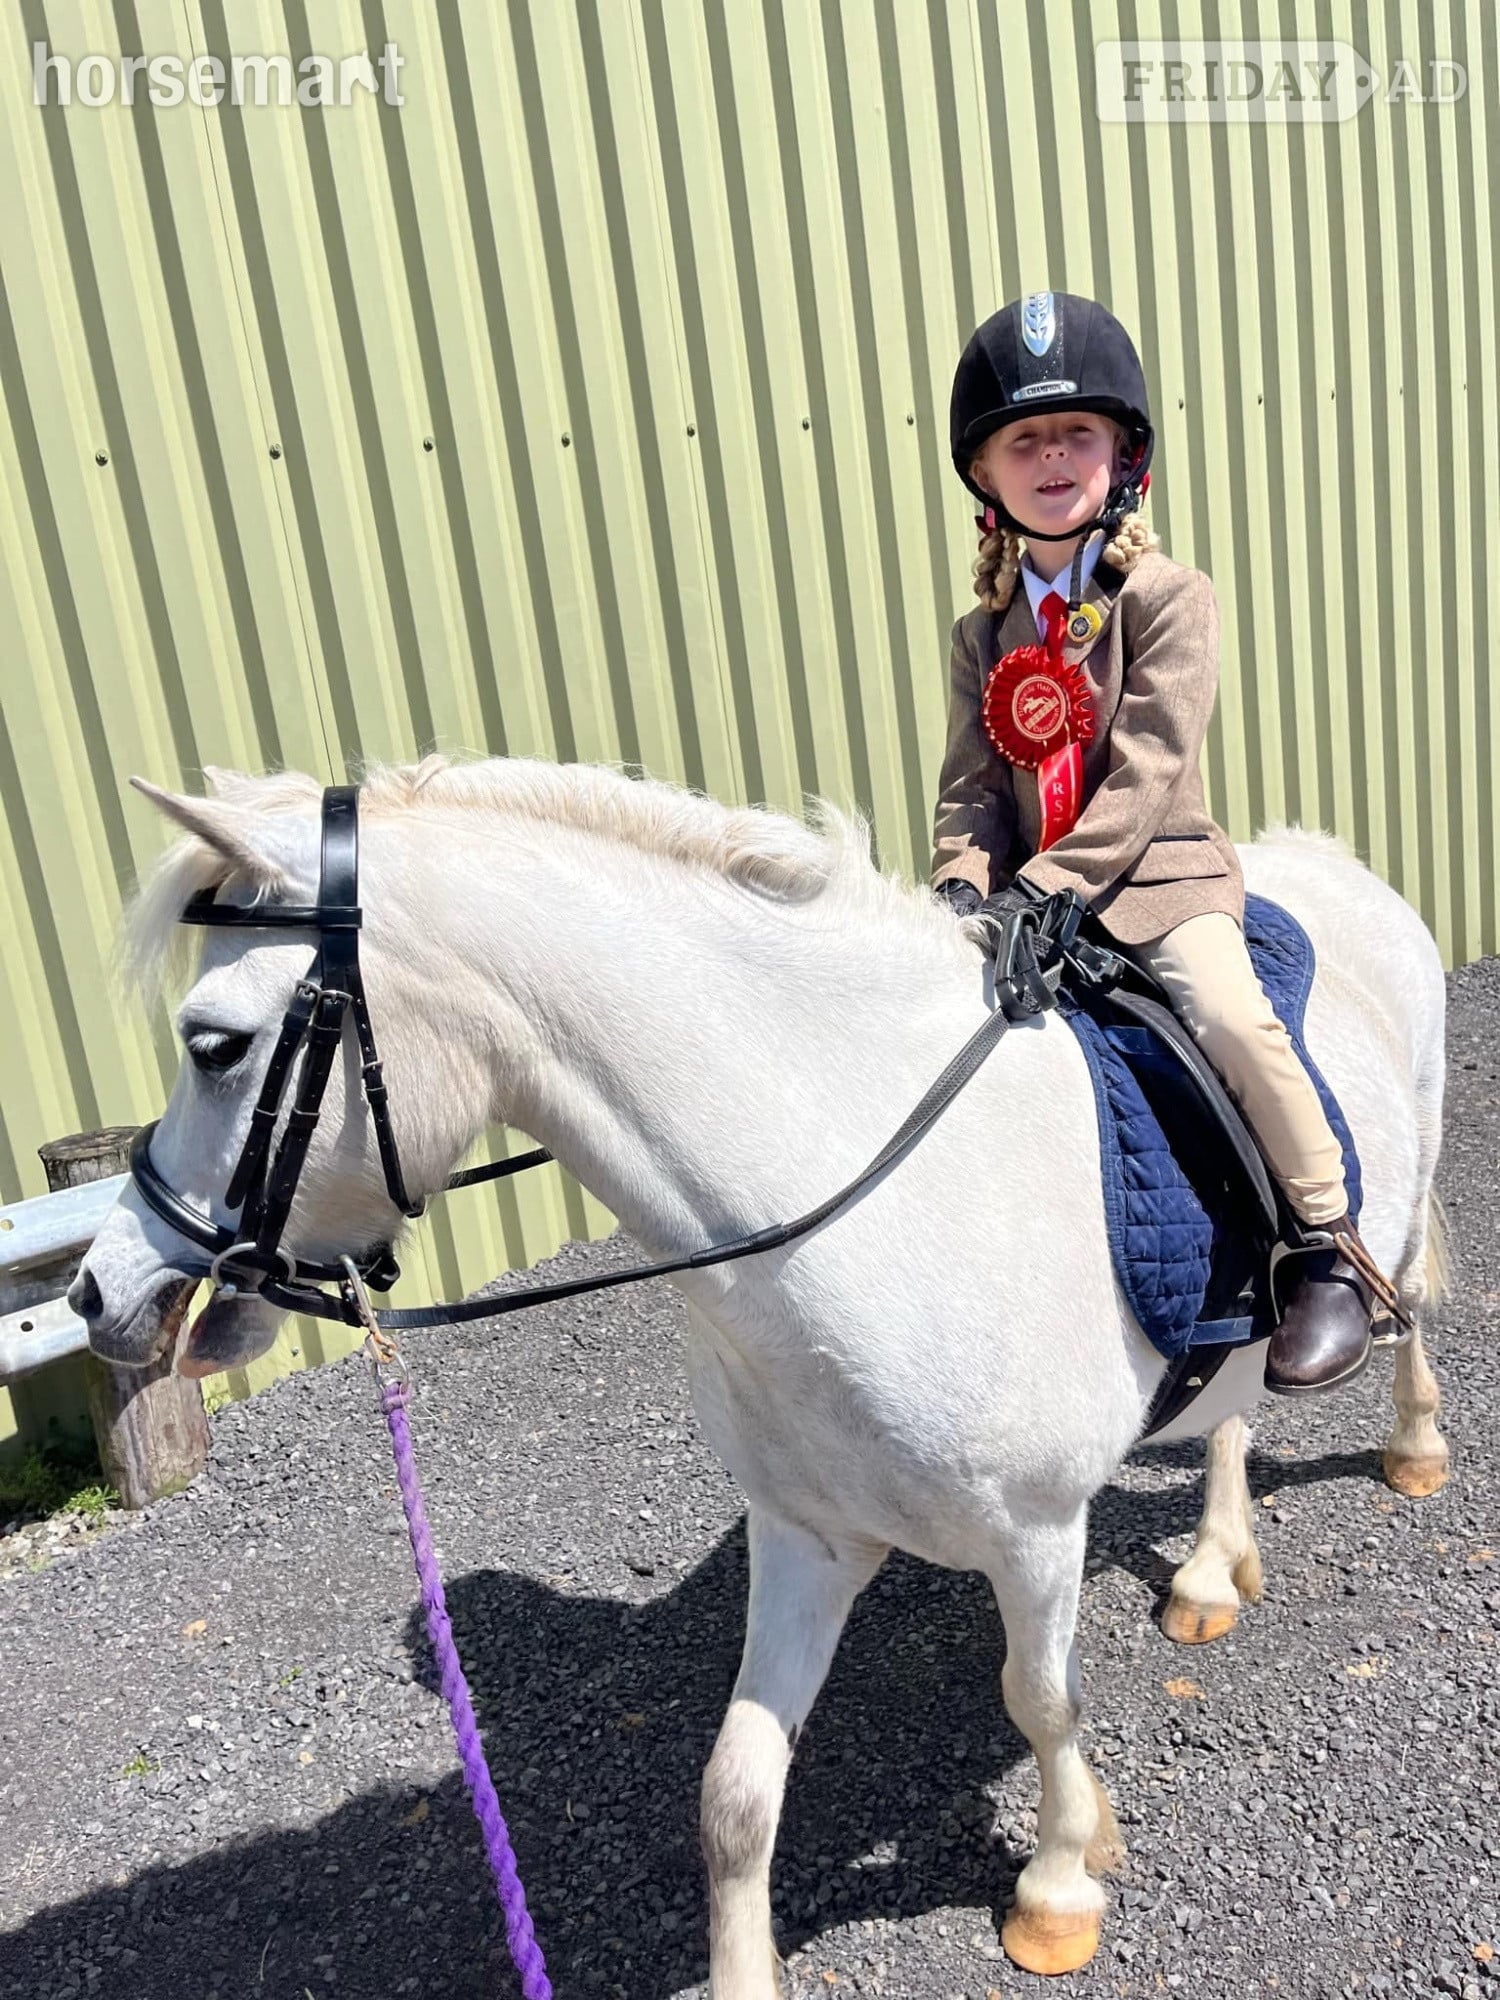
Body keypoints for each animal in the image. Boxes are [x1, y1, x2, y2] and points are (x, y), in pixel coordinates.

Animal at [70, 755, 1450, 1988]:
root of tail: (1327, 860)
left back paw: (1413, 1447)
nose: (99, 1292)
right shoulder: (803, 1532)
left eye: (213, 1043)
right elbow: (735, 1788)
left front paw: (1061, 1884)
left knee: (1406, 1311)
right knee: (1226, 1417)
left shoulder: (1037, 1530)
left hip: (1403, 1183)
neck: (848, 1202)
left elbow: (1041, 1699)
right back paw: (1214, 1568)